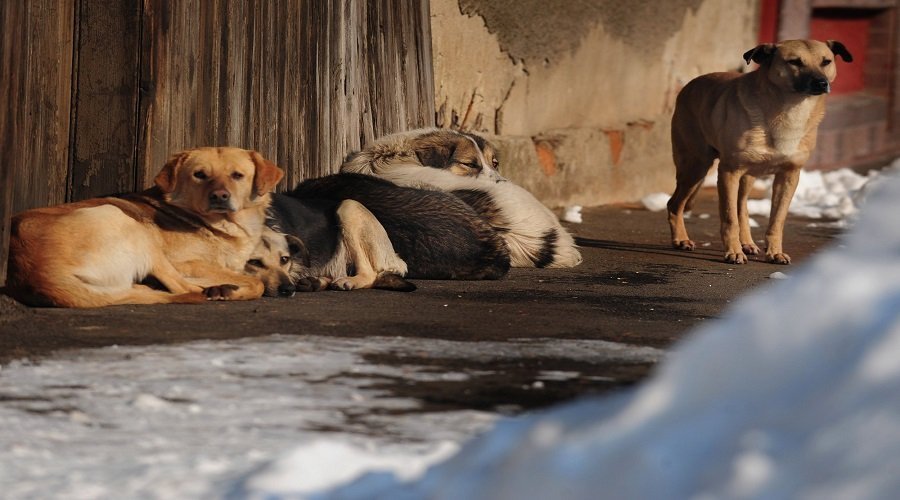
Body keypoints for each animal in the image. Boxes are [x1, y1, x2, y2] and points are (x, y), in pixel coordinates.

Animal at [4, 146, 282, 306]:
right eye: (200, 175)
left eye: (237, 175)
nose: (220, 196)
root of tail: (41, 275)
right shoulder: (185, 263)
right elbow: (256, 283)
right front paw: (235, 289)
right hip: (126, 221)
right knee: (182, 288)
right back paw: (218, 290)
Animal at [668, 38, 852, 264]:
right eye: (794, 62)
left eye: (826, 62)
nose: (821, 83)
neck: (788, 110)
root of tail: (688, 86)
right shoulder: (729, 172)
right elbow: (729, 218)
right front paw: (733, 252)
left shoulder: (789, 176)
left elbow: (776, 220)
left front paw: (774, 252)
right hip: (696, 167)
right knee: (674, 204)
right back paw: (681, 240)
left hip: (746, 177)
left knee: (742, 207)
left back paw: (747, 243)